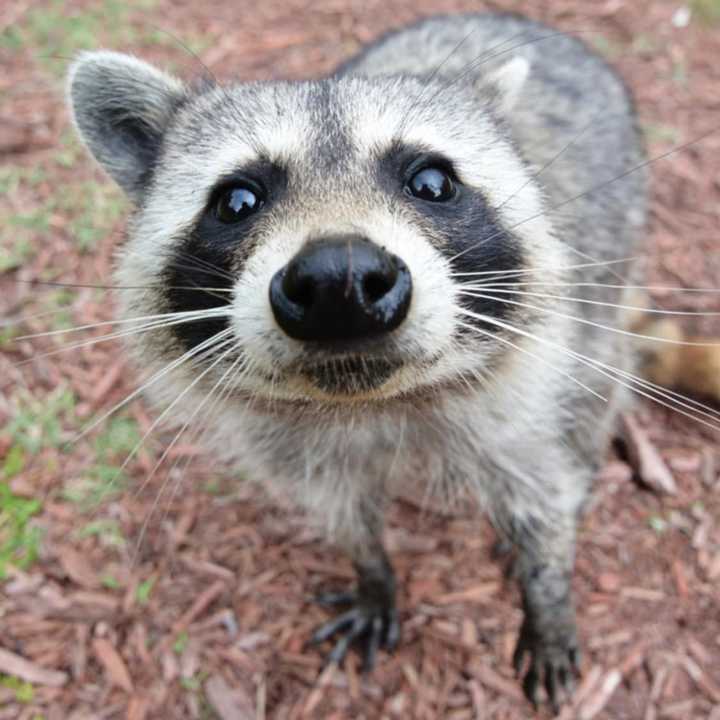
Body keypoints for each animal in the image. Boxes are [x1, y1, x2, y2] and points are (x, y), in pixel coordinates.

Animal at [67, 12, 648, 716]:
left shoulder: (529, 383)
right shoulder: (289, 444)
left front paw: (548, 591)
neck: (370, 402)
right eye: (236, 201)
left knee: (594, 391)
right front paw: (372, 570)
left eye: (432, 183)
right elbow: (340, 509)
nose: (338, 280)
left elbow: (539, 484)